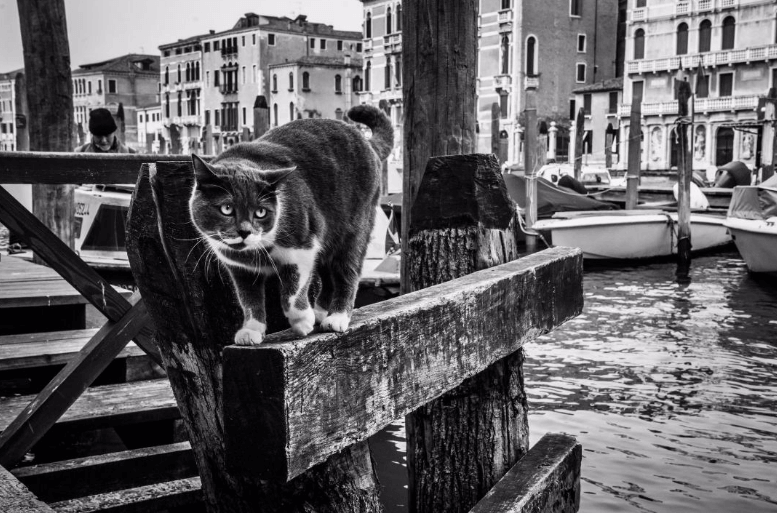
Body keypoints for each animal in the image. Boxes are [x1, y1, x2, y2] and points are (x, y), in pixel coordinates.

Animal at [189, 103, 394, 344]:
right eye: (227, 208)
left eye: (260, 212)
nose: (244, 231)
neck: (257, 251)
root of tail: (367, 142)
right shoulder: (240, 270)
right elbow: (249, 300)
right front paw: (251, 330)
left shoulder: (303, 247)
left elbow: (293, 291)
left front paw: (302, 321)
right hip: (329, 239)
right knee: (327, 276)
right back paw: (321, 311)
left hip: (353, 228)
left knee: (347, 272)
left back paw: (337, 317)